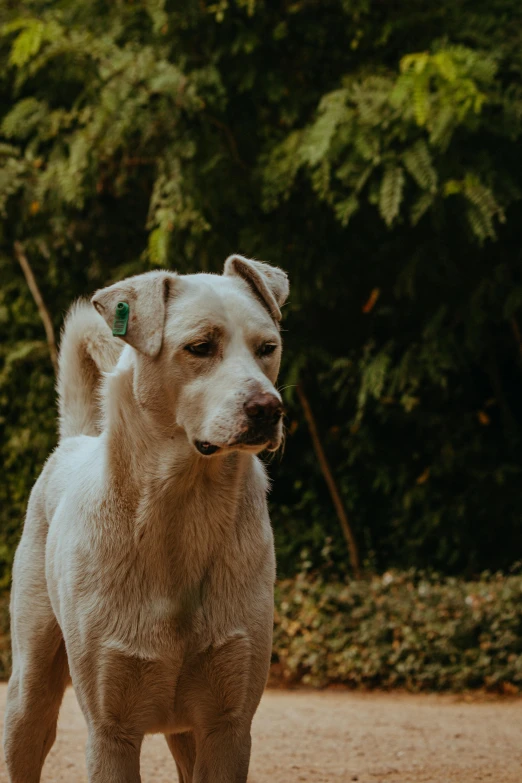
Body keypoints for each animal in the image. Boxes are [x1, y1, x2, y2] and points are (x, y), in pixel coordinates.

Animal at [5, 258, 288, 783]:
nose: (268, 409)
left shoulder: (228, 728)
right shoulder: (111, 731)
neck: (181, 508)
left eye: (267, 349)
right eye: (200, 347)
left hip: (186, 733)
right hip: (29, 692)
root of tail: (76, 440)